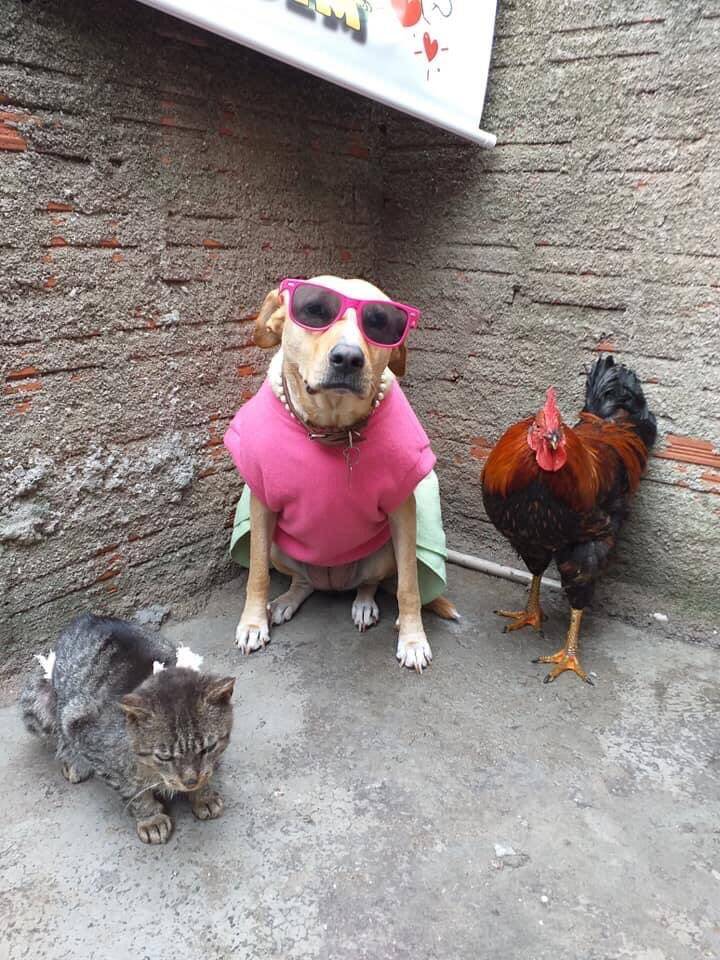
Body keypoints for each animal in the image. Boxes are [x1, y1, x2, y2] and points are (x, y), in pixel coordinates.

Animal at [21, 612, 235, 844]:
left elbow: (208, 770)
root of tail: (85, 616)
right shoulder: (84, 731)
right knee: (60, 735)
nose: (190, 781)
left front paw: (203, 795)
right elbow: (130, 787)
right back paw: (73, 760)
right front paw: (150, 819)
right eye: (164, 756)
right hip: (38, 697)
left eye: (208, 748)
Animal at [222, 274, 456, 672]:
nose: (348, 357)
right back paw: (285, 601)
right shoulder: (262, 505)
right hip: (280, 548)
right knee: (301, 581)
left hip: (383, 553)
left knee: (370, 584)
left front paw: (412, 639)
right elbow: (256, 574)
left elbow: (409, 585)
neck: (331, 429)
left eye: (380, 322)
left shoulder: (402, 511)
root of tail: (333, 583)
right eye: (314, 310)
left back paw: (363, 604)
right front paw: (252, 623)